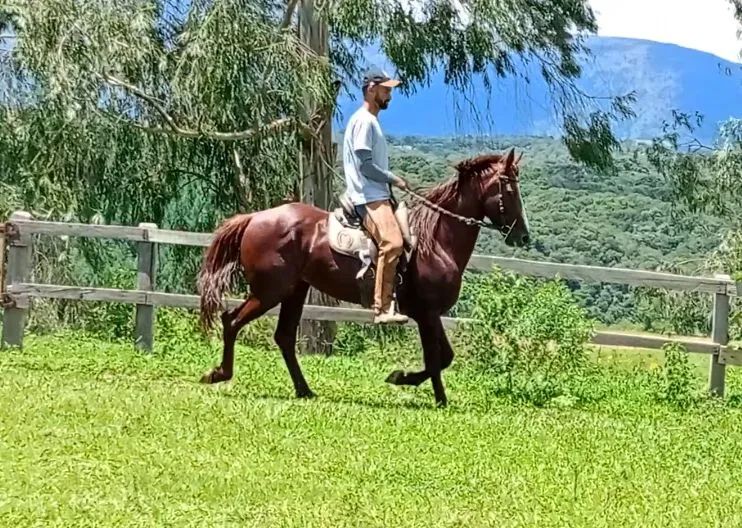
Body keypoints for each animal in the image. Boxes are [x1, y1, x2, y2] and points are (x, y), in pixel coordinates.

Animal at [196, 147, 531, 407]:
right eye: (509, 188)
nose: (523, 236)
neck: (435, 241)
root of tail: (254, 218)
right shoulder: (428, 313)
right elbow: (437, 358)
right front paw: (433, 395)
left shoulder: (430, 314)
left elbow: (444, 356)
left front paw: (404, 379)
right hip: (269, 292)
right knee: (232, 321)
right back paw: (219, 373)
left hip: (294, 291)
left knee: (284, 337)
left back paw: (304, 390)